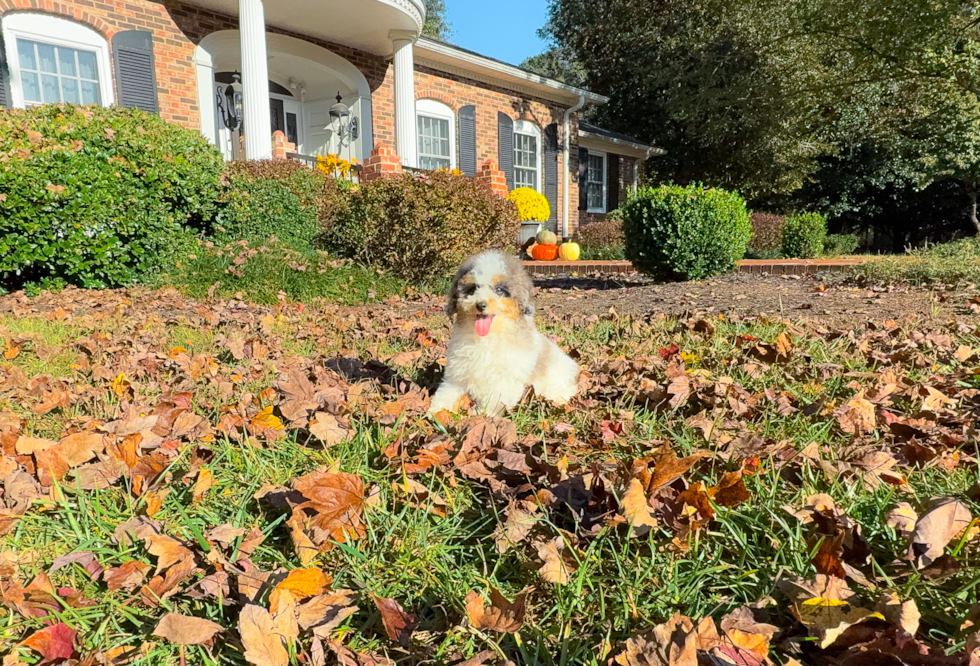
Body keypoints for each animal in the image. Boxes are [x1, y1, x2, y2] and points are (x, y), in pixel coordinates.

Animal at [430, 249, 580, 416]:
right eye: (472, 288)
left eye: (499, 290)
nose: (480, 304)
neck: (487, 337)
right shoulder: (457, 371)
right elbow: (447, 391)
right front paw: (436, 410)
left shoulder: (506, 379)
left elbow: (496, 398)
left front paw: (484, 414)